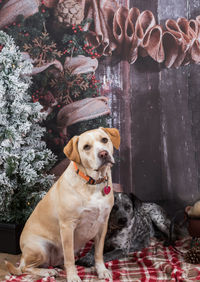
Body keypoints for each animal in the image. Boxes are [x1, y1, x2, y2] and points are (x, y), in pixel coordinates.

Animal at [5, 128, 119, 282]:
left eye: (104, 140)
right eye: (86, 147)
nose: (103, 153)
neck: (92, 182)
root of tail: (22, 256)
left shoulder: (102, 224)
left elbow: (98, 253)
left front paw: (101, 270)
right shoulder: (67, 226)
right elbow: (69, 257)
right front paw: (73, 276)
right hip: (40, 248)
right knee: (26, 268)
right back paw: (47, 272)